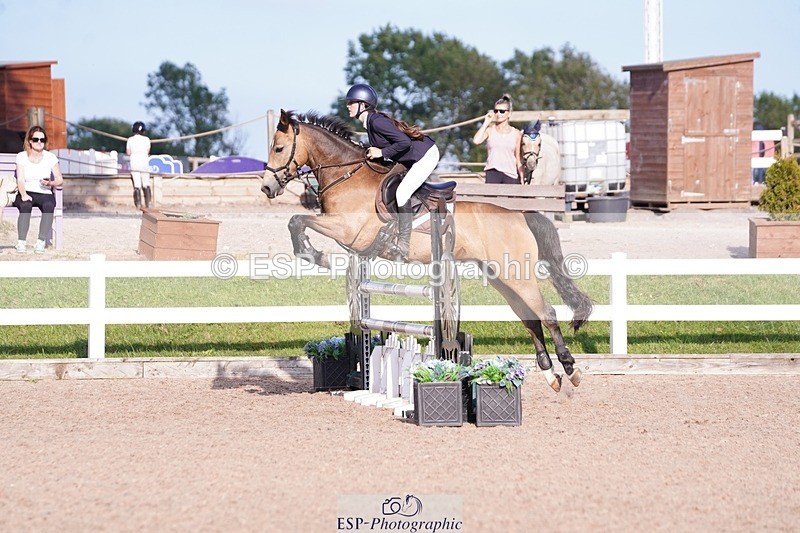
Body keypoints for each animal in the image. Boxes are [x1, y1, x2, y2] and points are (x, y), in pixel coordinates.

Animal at [261, 110, 592, 392]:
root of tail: (520, 214)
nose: (266, 188)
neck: (347, 175)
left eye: (278, 148)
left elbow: (297, 220)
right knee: (530, 319)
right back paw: (550, 375)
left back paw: (570, 369)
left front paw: (315, 254)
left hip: (516, 275)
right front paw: (311, 253)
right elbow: (297, 221)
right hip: (501, 277)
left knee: (547, 313)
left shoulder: (348, 230)